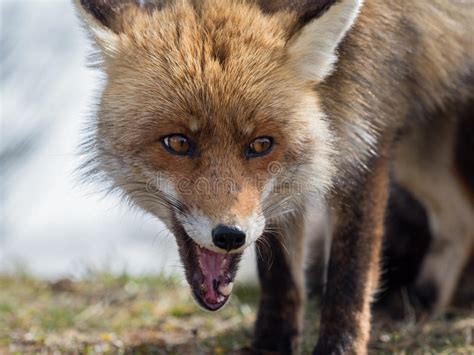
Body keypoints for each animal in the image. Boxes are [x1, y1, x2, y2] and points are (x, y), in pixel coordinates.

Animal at [75, 0, 474, 354]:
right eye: (177, 142)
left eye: (260, 144)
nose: (229, 236)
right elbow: (280, 275)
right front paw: (271, 346)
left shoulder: (365, 133)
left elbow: (350, 275)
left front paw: (339, 348)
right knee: (459, 217)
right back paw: (420, 304)